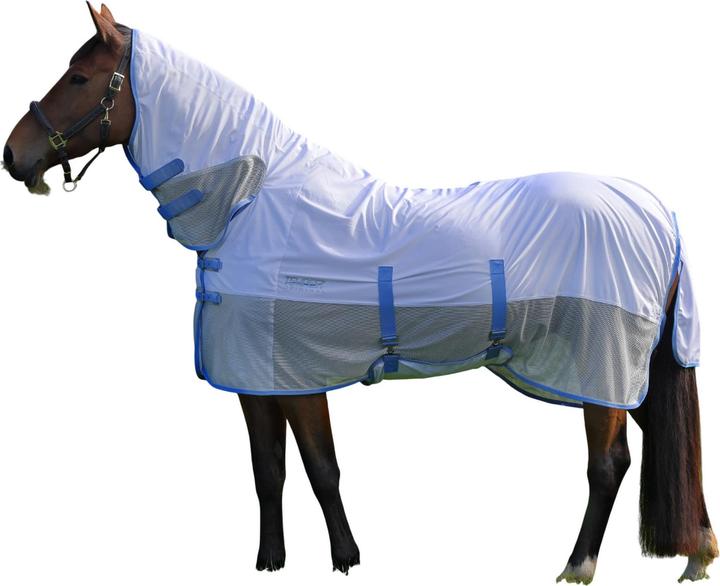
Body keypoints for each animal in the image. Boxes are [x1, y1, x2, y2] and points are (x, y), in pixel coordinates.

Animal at [3, 4, 716, 583]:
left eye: (79, 78)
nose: (14, 155)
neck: (251, 202)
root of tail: (657, 211)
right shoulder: (256, 379)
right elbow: (268, 471)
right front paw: (270, 563)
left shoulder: (295, 374)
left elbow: (321, 468)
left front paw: (346, 560)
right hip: (630, 373)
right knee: (668, 443)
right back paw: (695, 556)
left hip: (601, 367)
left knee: (610, 464)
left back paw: (578, 565)